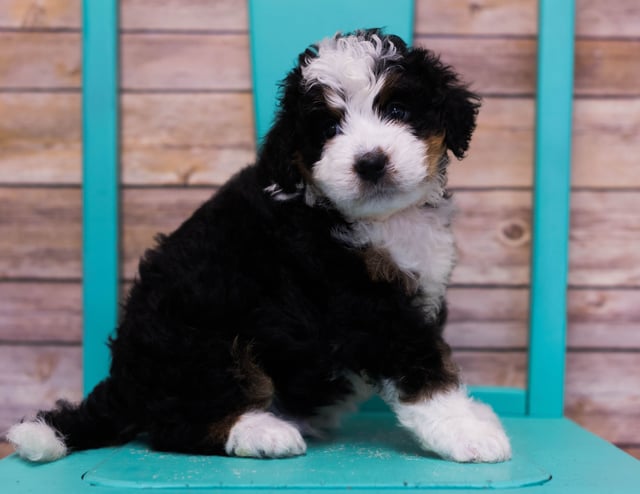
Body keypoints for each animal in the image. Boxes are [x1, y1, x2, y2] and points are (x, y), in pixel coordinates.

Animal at [7, 29, 512, 464]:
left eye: (400, 110)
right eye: (328, 129)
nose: (370, 163)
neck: (384, 219)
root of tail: (124, 379)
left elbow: (438, 357)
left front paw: (473, 415)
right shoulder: (364, 304)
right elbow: (422, 372)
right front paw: (466, 433)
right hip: (199, 340)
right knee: (178, 425)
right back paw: (262, 431)